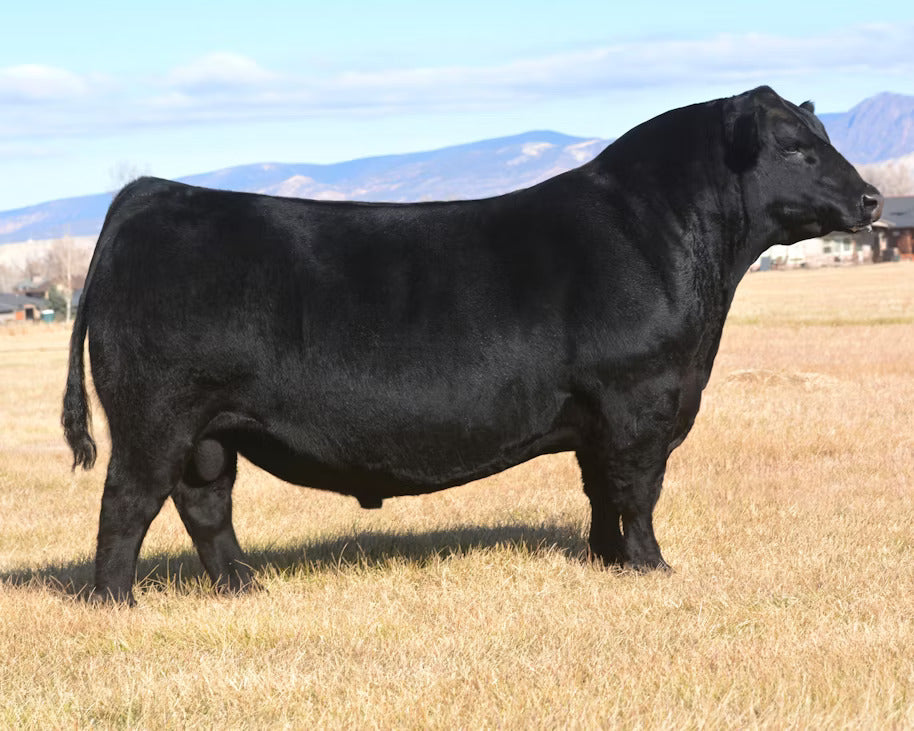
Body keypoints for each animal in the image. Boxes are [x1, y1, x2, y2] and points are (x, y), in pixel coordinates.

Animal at [63, 86, 882, 604]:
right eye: (796, 149)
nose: (873, 197)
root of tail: (152, 190)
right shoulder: (640, 400)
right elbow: (638, 492)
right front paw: (653, 568)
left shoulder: (603, 415)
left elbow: (599, 492)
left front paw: (608, 563)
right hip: (155, 416)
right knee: (128, 502)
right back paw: (115, 604)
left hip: (211, 428)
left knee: (206, 502)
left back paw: (243, 585)